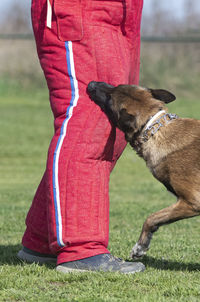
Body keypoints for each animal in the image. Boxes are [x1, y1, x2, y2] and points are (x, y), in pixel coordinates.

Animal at [87, 81, 200, 258]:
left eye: (110, 99)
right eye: (116, 86)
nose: (92, 84)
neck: (153, 128)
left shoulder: (192, 202)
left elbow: (151, 218)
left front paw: (140, 246)